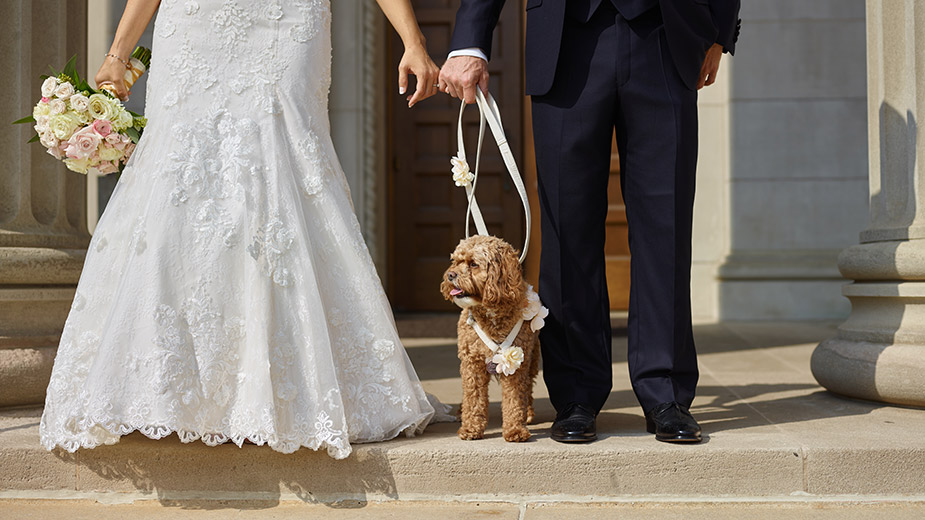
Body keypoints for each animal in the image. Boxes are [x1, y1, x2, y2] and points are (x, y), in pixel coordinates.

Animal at [440, 236, 540, 442]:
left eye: (473, 264)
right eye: (455, 261)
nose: (450, 275)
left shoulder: (518, 365)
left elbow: (514, 399)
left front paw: (515, 430)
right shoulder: (471, 364)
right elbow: (473, 397)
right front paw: (470, 428)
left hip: (532, 359)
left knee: (528, 387)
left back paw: (528, 413)